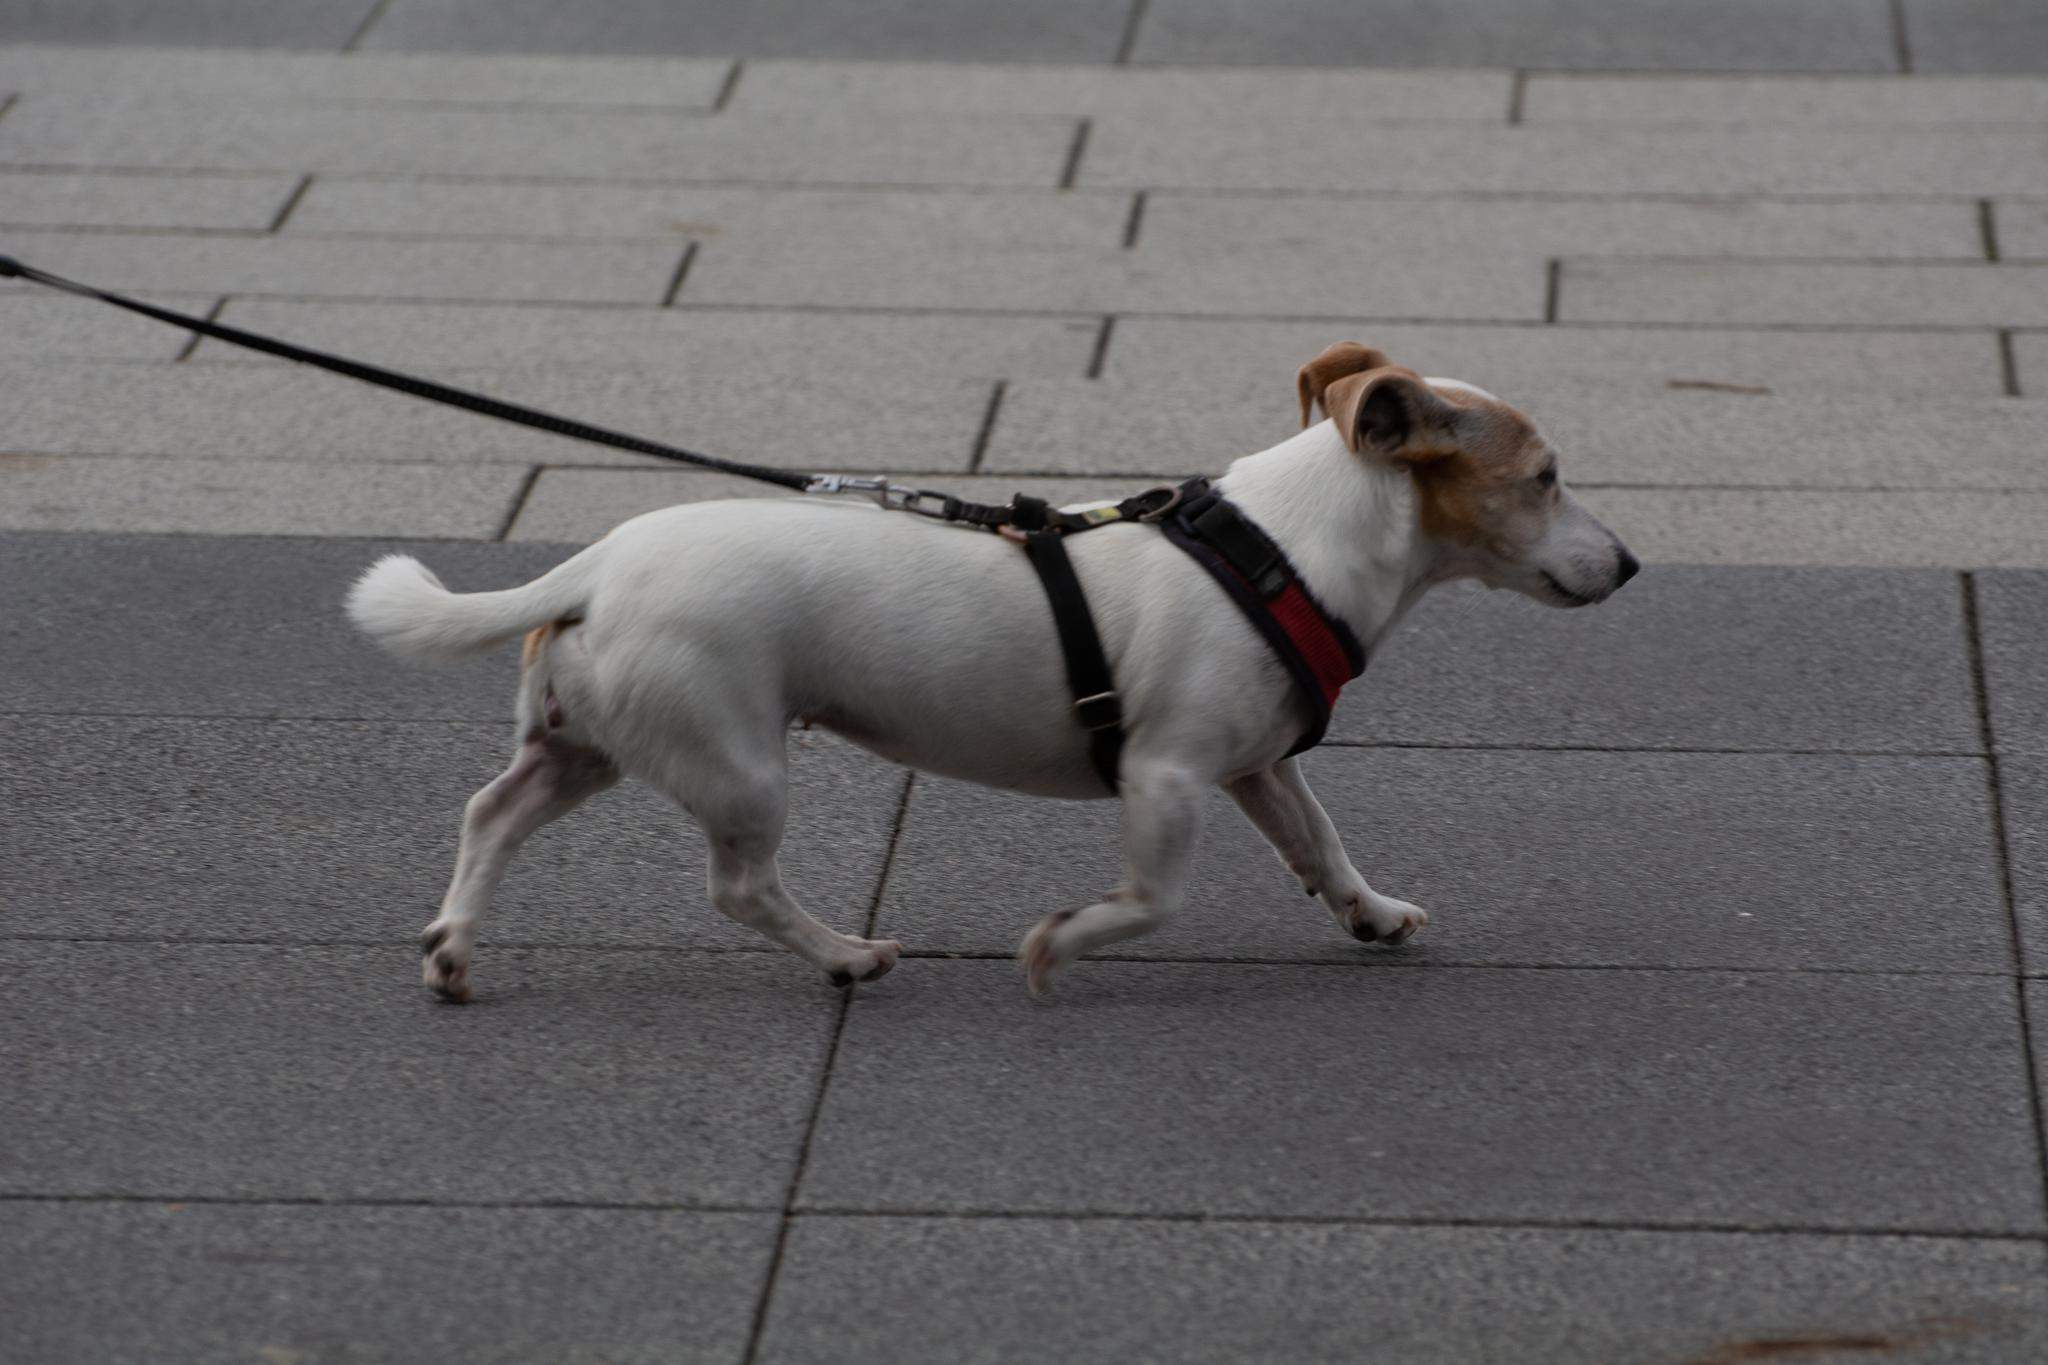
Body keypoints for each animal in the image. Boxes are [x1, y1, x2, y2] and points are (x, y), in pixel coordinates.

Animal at [348, 341, 1630, 1002]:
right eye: (1544, 478)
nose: (1625, 564)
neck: (1278, 550)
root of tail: (596, 563)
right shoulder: (1165, 775)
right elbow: (1152, 898)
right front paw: (1060, 941)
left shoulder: (1255, 765)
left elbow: (1317, 844)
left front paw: (1369, 913)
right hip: (733, 762)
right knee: (740, 889)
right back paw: (844, 952)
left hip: (588, 745)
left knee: (493, 812)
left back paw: (453, 946)